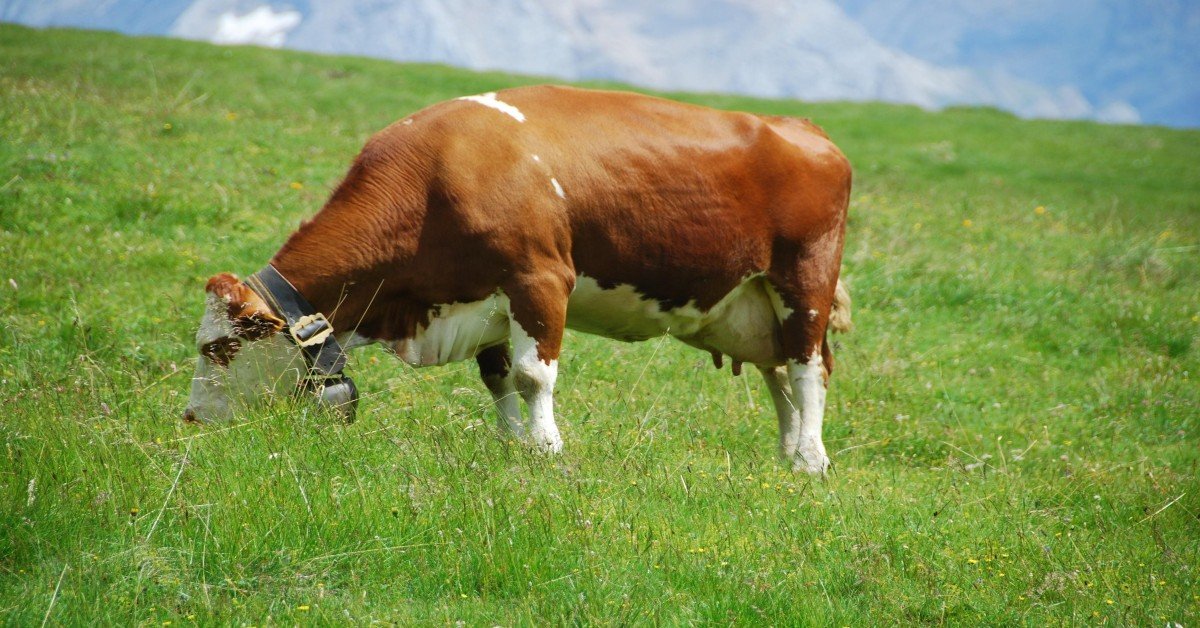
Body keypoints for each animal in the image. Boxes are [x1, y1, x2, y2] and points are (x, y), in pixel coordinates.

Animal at [184, 85, 852, 475]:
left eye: (217, 347)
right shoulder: (483, 298)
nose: (190, 418)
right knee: (778, 374)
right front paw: (514, 447)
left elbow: (533, 375)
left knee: (808, 369)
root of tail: (805, 127)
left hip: (805, 282)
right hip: (753, 303)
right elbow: (497, 376)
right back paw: (786, 452)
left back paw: (809, 462)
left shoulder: (541, 278)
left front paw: (547, 450)